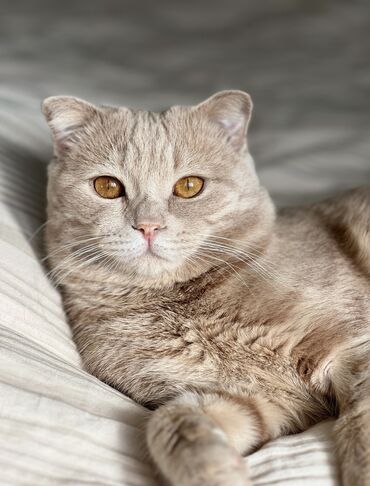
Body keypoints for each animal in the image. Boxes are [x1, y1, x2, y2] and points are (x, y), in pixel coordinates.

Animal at [42, 92, 368, 486]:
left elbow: (360, 427)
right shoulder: (244, 396)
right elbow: (170, 423)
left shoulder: (353, 349)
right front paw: (217, 473)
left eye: (189, 187)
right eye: (107, 187)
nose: (148, 226)